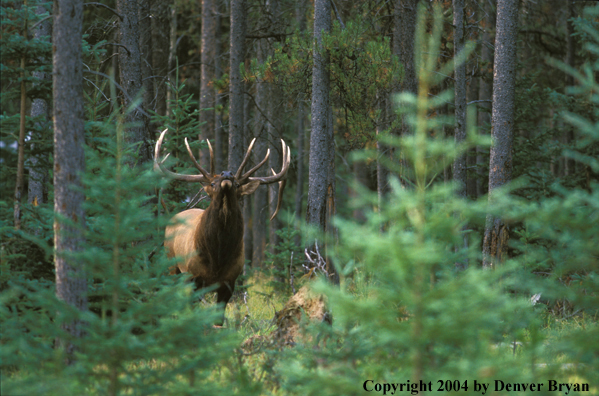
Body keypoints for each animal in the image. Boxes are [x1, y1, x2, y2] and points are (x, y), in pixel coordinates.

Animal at [152, 130, 288, 324]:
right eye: (212, 183)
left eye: (238, 184)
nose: (227, 174)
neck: (218, 256)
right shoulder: (194, 277)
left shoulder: (229, 281)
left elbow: (219, 318)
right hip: (172, 264)